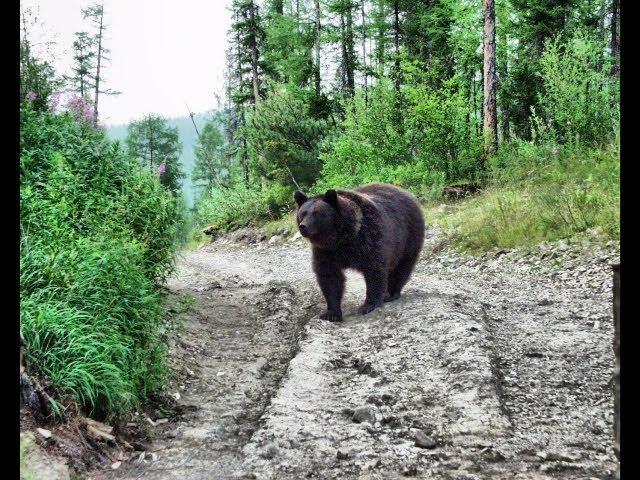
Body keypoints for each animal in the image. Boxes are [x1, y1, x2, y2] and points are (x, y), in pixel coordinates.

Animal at [294, 184, 424, 322]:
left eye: (317, 213)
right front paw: (331, 313)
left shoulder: (369, 237)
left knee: (403, 265)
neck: (343, 238)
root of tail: (406, 192)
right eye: (302, 213)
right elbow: (329, 277)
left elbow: (374, 269)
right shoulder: (326, 251)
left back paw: (391, 293)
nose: (303, 226)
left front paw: (368, 305)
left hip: (409, 234)